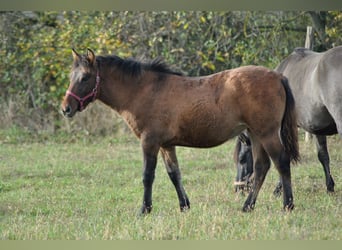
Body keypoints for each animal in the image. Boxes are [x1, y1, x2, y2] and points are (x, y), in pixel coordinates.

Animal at [61, 48, 300, 213]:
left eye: (84, 78)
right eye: (71, 77)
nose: (66, 108)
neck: (144, 91)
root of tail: (278, 77)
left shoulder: (149, 142)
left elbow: (147, 176)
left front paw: (144, 209)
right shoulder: (167, 145)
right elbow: (174, 174)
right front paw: (184, 206)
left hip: (267, 133)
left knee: (281, 162)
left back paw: (287, 205)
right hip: (256, 134)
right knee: (261, 167)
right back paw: (247, 206)